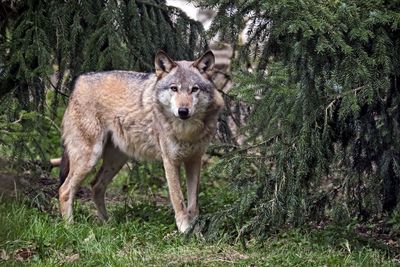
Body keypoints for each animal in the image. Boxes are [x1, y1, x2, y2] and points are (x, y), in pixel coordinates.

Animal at [57, 50, 223, 232]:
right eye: (174, 88)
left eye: (194, 89)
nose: (183, 111)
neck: (187, 131)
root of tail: (78, 80)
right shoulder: (170, 161)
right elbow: (178, 200)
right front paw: (185, 231)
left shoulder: (194, 160)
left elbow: (193, 205)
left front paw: (197, 233)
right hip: (89, 158)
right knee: (65, 189)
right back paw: (70, 227)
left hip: (116, 160)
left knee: (95, 185)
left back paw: (107, 224)